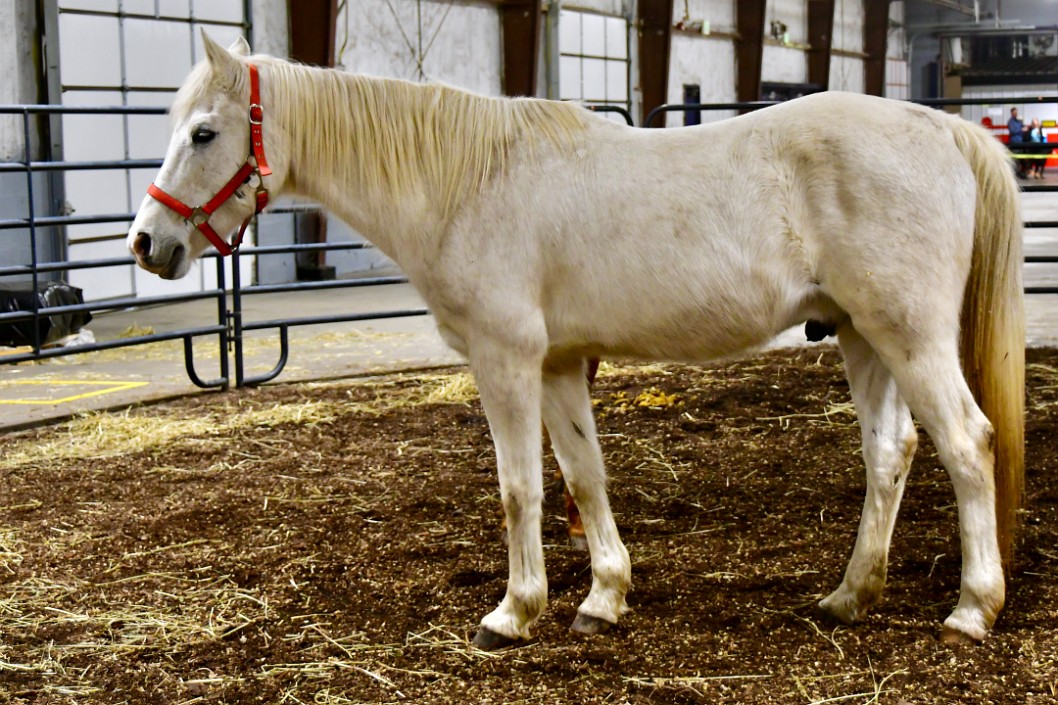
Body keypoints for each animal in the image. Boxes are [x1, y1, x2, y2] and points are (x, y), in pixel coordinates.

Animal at [125, 32, 1024, 647]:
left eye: (203, 133)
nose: (146, 242)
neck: (465, 181)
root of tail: (941, 129)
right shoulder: (558, 367)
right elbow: (584, 479)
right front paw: (602, 598)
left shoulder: (506, 362)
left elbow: (518, 488)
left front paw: (512, 611)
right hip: (863, 338)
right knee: (890, 454)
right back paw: (849, 595)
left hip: (909, 337)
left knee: (968, 444)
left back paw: (972, 608)